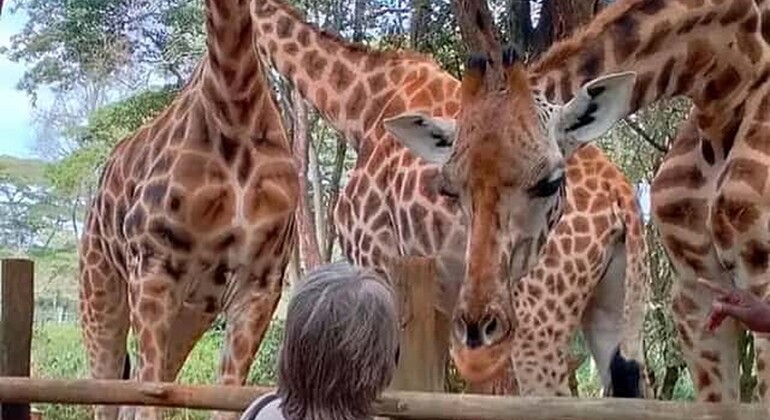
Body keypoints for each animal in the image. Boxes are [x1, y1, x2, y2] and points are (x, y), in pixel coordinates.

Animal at [77, 0, 298, 419]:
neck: (235, 104)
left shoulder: (260, 282)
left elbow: (225, 399)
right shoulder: (152, 267)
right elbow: (150, 398)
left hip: (192, 311)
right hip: (100, 289)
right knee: (109, 391)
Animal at [249, 0, 649, 396]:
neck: (360, 103)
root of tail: (622, 195)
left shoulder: (374, 257)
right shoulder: (438, 303)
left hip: (540, 317)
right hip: (610, 307)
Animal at [385, 0, 770, 404]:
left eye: (550, 182)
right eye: (449, 190)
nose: (477, 332)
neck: (724, 83)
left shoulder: (758, 281)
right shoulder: (695, 295)